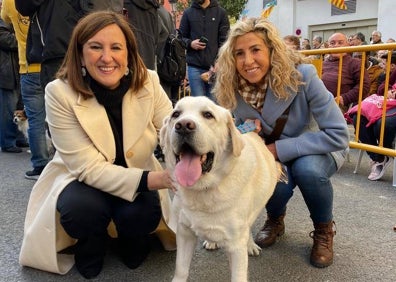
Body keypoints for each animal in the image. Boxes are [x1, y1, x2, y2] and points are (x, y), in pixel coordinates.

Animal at [160, 96, 282, 280]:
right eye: (176, 114)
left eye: (208, 115)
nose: (183, 126)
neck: (203, 190)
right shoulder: (184, 232)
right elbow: (180, 269)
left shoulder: (236, 246)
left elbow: (238, 275)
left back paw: (250, 245)